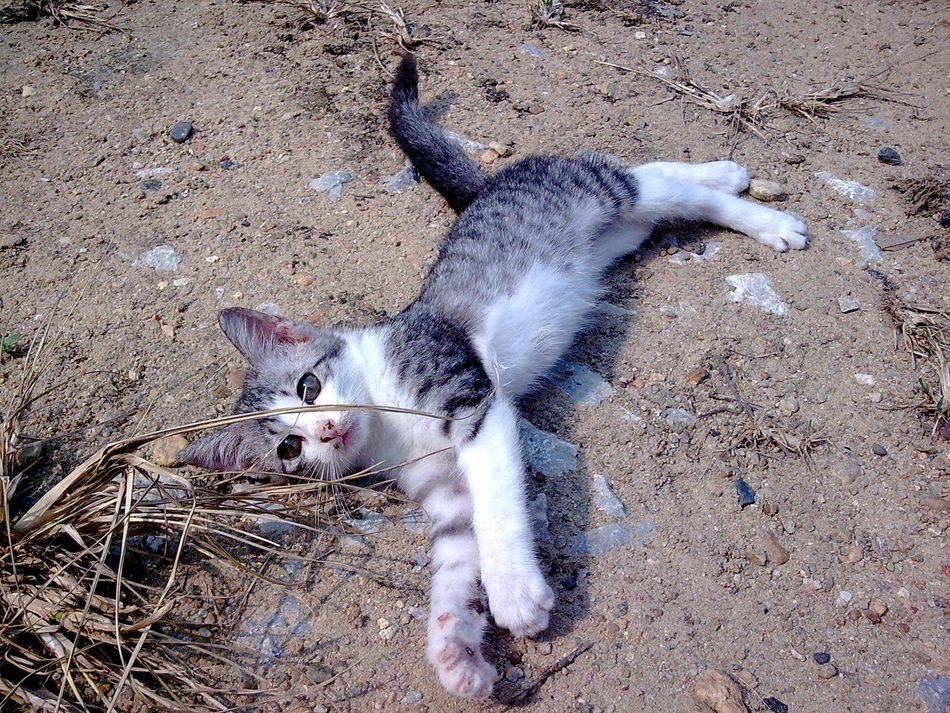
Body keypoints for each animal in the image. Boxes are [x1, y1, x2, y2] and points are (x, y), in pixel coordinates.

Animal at [180, 54, 812, 696]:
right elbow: (457, 558)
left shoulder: (472, 403)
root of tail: (490, 185)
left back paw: (759, 213)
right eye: (289, 448)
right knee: (654, 190)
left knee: (647, 179)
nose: (327, 430)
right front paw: (455, 651)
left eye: (309, 387)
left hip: (596, 196)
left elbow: (497, 504)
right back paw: (726, 175)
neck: (387, 422)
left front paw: (513, 592)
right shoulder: (445, 497)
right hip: (619, 232)